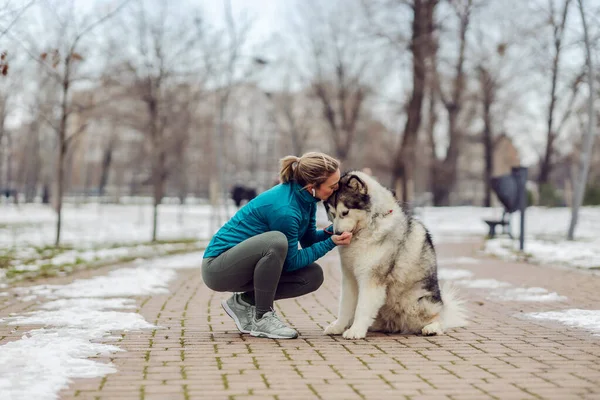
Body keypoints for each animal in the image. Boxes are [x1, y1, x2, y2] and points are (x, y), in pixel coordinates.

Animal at [324, 170, 468, 340]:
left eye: (345, 212)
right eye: (332, 214)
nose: (337, 234)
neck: (370, 224)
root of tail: (396, 325)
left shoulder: (371, 279)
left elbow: (362, 307)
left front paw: (356, 330)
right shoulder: (349, 278)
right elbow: (345, 306)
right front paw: (338, 326)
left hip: (418, 303)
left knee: (440, 319)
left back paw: (432, 327)